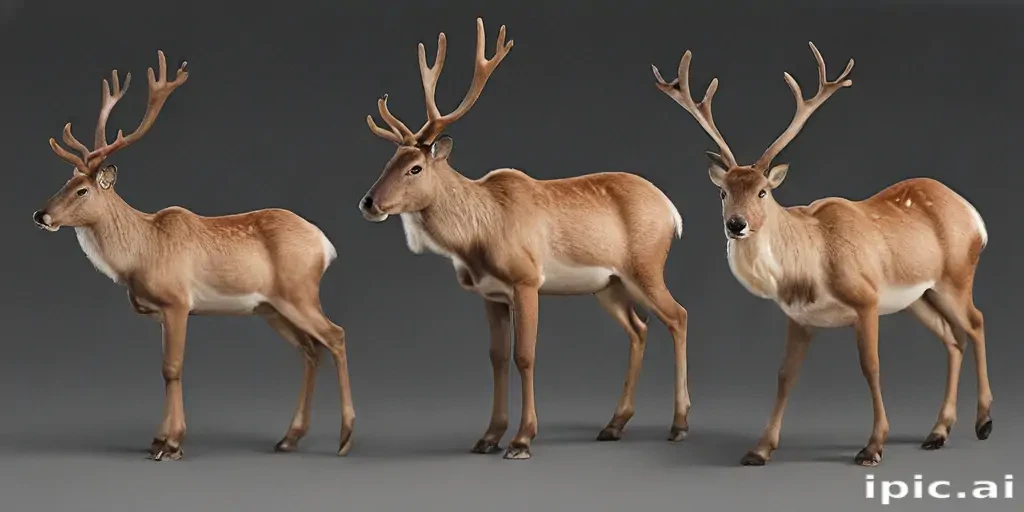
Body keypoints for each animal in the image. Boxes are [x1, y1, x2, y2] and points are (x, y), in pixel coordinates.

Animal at [32, 50, 354, 460]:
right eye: (66, 182)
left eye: (82, 190)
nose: (41, 215)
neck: (141, 252)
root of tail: (325, 245)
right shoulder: (160, 312)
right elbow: (165, 370)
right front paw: (159, 440)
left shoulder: (177, 301)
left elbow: (172, 367)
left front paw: (170, 444)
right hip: (271, 307)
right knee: (311, 349)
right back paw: (289, 437)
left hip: (299, 292)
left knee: (336, 336)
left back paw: (345, 437)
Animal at [360, 18, 690, 460]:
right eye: (389, 161)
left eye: (415, 167)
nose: (368, 202)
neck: (478, 235)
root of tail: (672, 212)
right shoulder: (489, 293)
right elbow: (497, 358)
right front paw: (488, 436)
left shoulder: (527, 279)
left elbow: (525, 355)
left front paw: (521, 439)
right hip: (609, 284)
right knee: (639, 328)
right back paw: (613, 425)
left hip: (646, 266)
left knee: (677, 316)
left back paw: (679, 424)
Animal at [652, 42, 992, 466]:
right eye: (723, 192)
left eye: (763, 191)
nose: (736, 224)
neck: (807, 270)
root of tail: (975, 218)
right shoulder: (799, 316)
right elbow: (785, 375)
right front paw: (759, 449)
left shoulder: (866, 298)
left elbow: (872, 367)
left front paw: (872, 447)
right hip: (920, 296)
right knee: (953, 338)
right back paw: (938, 432)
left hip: (957, 275)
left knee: (976, 323)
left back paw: (983, 423)